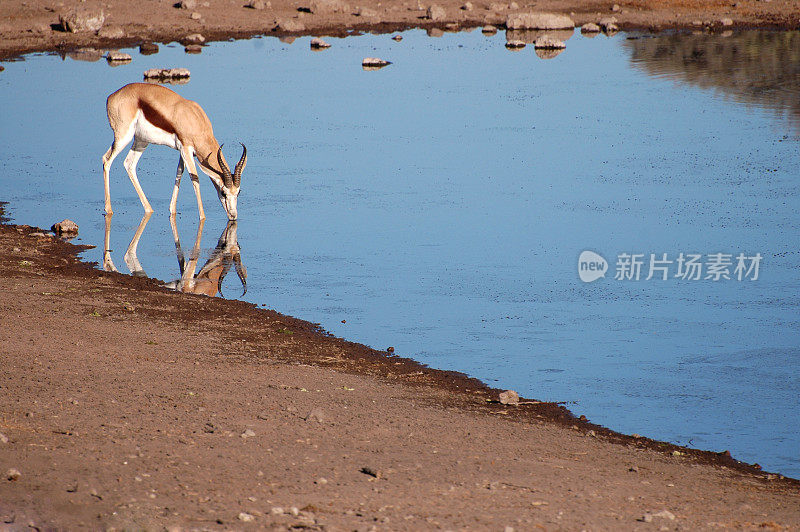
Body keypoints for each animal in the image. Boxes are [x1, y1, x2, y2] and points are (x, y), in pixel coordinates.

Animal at [103, 83, 247, 220]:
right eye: (223, 192)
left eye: (238, 192)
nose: (233, 216)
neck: (196, 120)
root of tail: (111, 97)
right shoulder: (186, 148)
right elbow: (195, 178)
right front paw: (202, 216)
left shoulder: (182, 151)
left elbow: (179, 173)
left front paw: (172, 210)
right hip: (124, 137)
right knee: (107, 160)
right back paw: (108, 209)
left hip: (140, 141)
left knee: (128, 164)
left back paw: (149, 209)